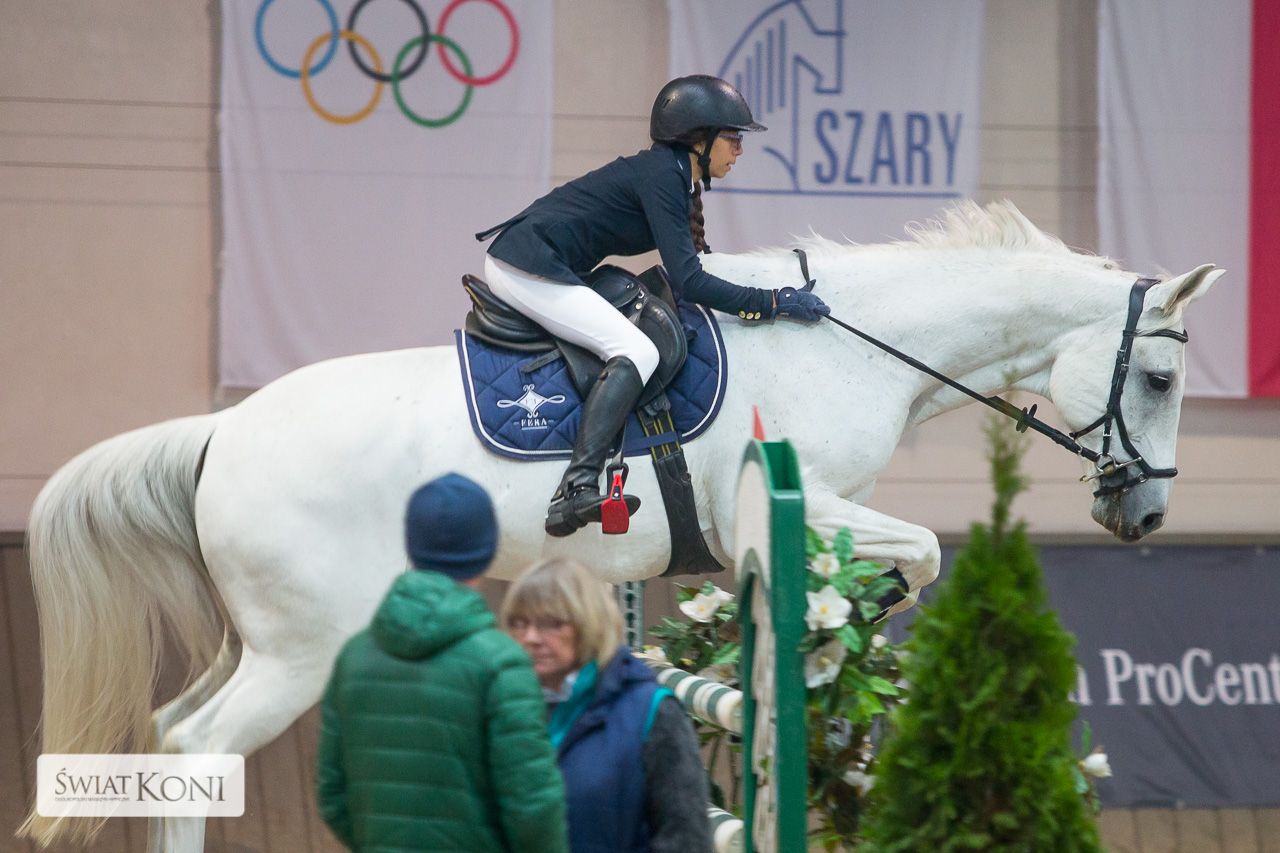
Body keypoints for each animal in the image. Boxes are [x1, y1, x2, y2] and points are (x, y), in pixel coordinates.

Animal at [19, 201, 1221, 851]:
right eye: (1159, 378)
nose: (1144, 509)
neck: (848, 342)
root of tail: (222, 430)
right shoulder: (779, 507)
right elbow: (919, 551)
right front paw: (841, 630)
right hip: (302, 648)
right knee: (197, 746)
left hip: (260, 639)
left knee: (172, 729)